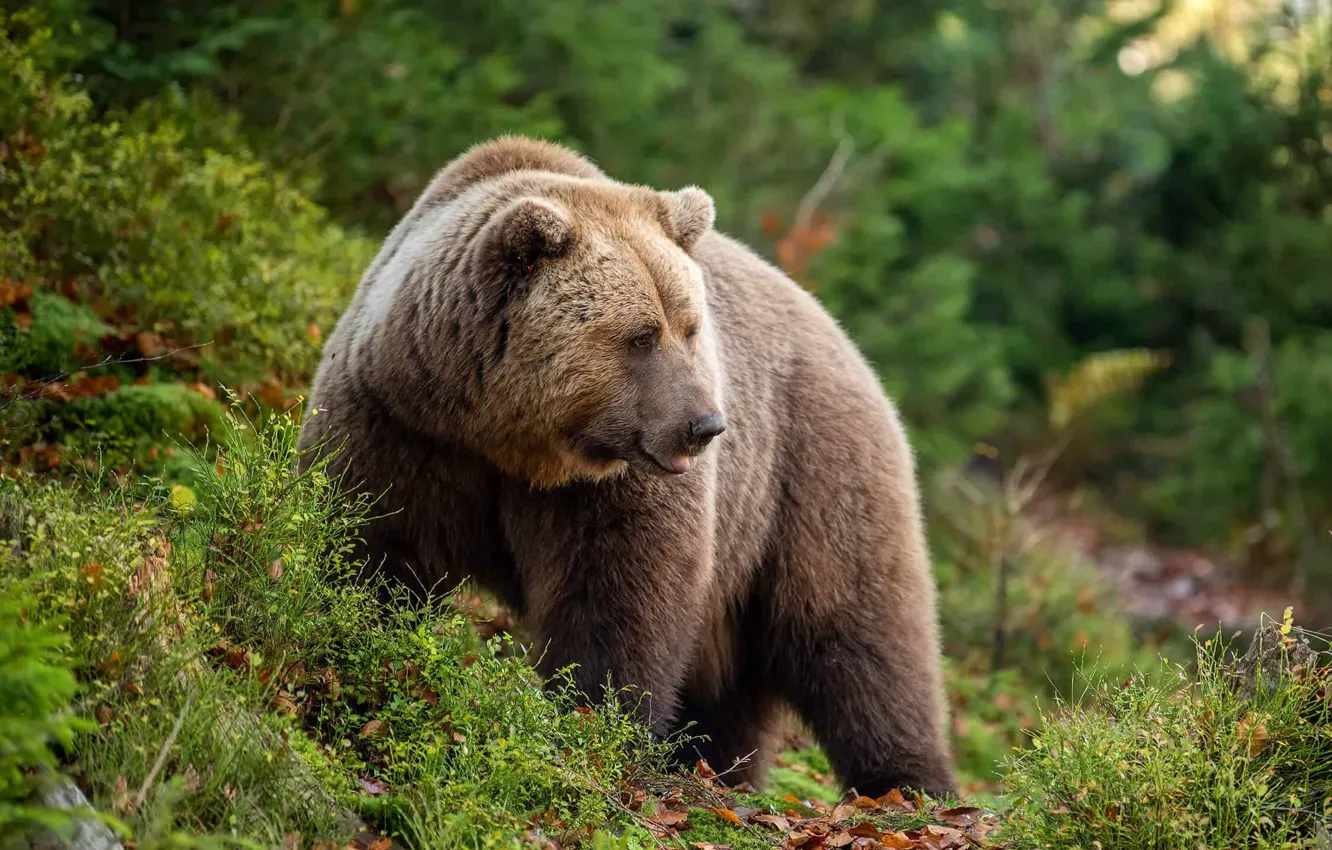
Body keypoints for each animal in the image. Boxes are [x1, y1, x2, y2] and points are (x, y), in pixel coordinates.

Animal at [297, 136, 955, 797]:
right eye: (641, 335)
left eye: (690, 328)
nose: (706, 425)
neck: (511, 440)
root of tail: (852, 349)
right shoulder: (407, 424)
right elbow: (375, 540)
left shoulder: (619, 479)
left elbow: (622, 590)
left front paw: (596, 724)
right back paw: (716, 766)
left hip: (811, 475)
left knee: (862, 639)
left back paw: (910, 785)